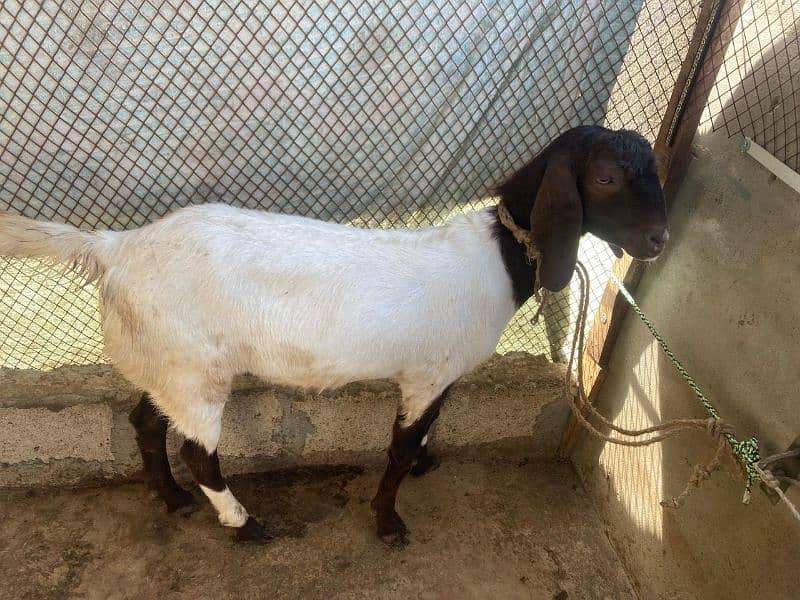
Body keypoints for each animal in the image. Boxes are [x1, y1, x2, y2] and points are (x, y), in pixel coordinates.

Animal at [0, 126, 668, 545]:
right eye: (604, 178)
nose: (659, 238)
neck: (497, 256)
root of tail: (116, 249)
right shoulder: (427, 374)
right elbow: (397, 447)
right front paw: (388, 521)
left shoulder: (437, 374)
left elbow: (424, 434)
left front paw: (425, 464)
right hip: (195, 369)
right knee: (197, 450)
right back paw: (243, 525)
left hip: (166, 358)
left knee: (145, 421)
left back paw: (171, 499)